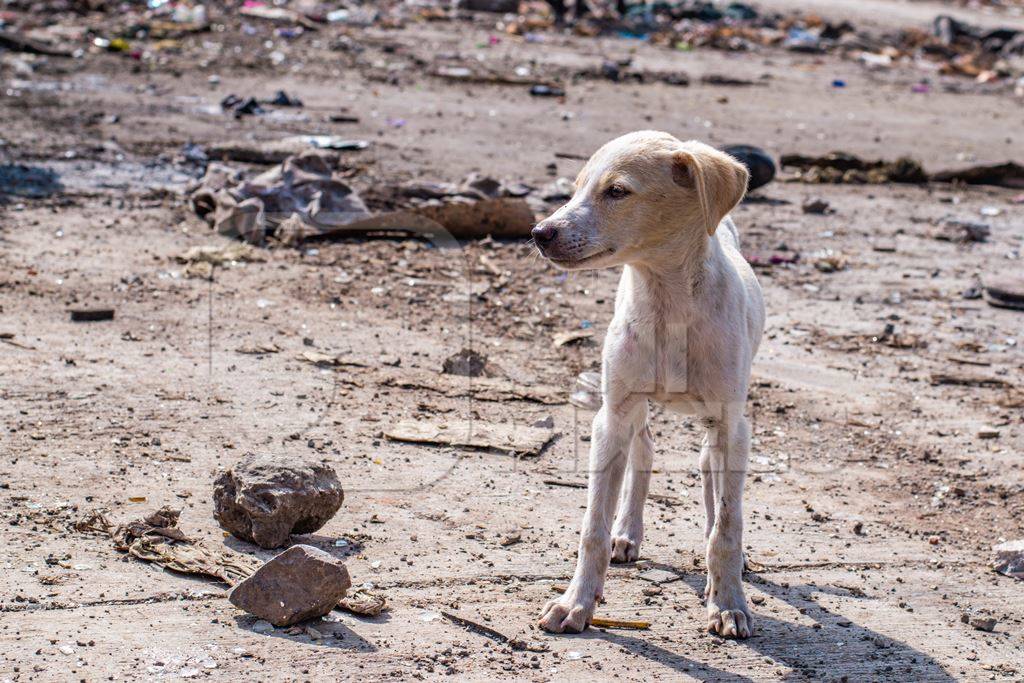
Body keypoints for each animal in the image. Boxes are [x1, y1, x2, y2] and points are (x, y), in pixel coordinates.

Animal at [532, 131, 765, 638]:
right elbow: (592, 526)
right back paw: (627, 532)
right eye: (576, 188)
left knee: (709, 476)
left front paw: (728, 602)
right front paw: (577, 602)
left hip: (717, 427)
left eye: (617, 191)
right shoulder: (611, 417)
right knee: (644, 451)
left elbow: (728, 525)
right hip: (631, 404)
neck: (667, 304)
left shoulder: (732, 425)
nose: (539, 233)